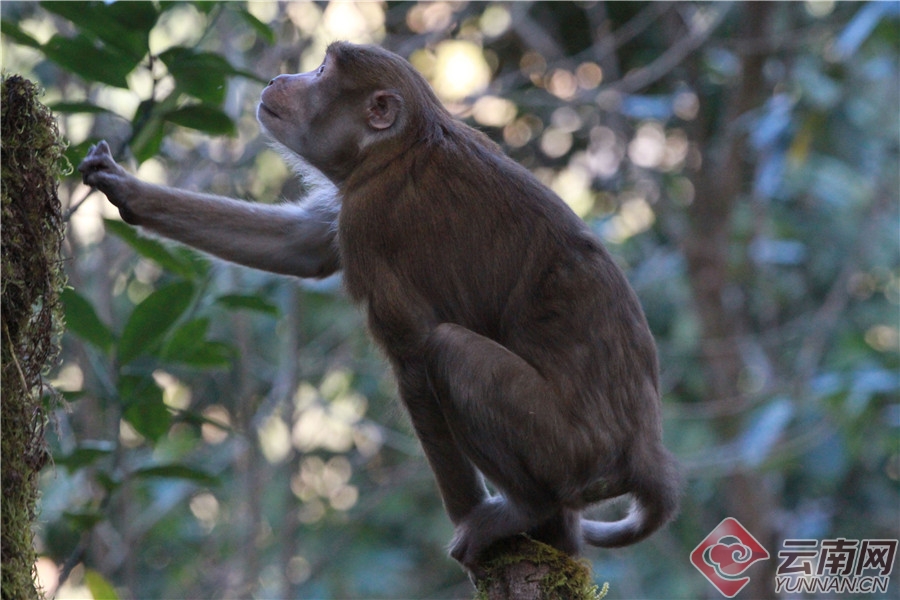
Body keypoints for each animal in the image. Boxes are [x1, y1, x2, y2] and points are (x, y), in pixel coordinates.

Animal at [81, 41, 680, 568]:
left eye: (323, 71)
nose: (279, 78)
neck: (400, 146)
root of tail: (644, 445)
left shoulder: (369, 217)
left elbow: (413, 353)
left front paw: (469, 521)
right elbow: (303, 247)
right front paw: (125, 190)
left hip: (567, 448)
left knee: (449, 351)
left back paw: (528, 510)